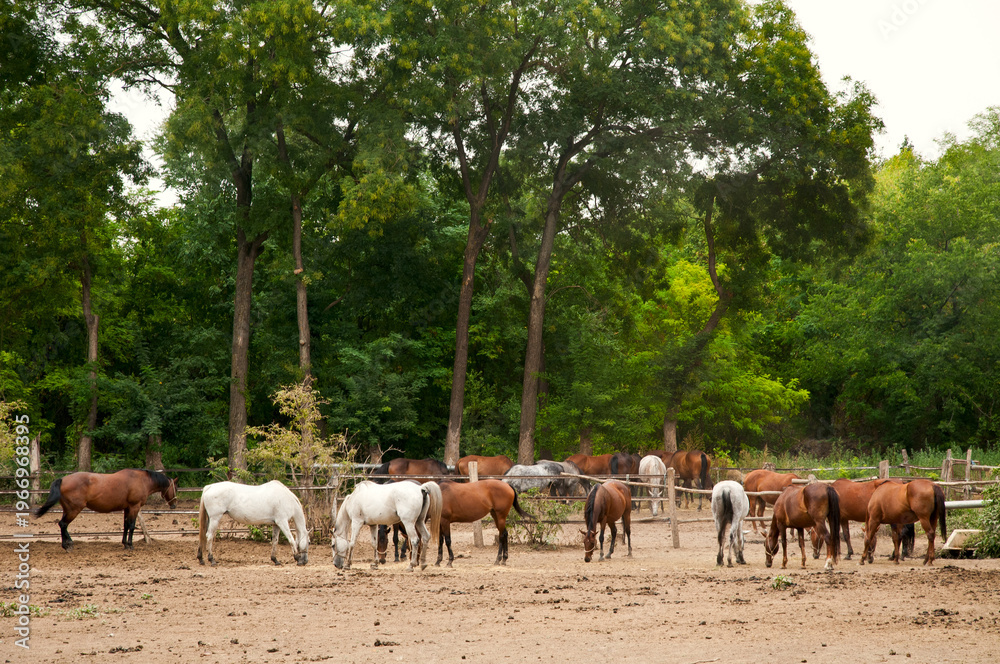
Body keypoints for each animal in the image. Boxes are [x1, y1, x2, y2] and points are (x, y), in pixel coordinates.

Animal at [34, 469, 178, 550]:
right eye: (175, 487)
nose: (174, 504)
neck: (142, 480)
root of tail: (63, 479)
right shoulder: (134, 507)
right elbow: (131, 526)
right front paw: (130, 545)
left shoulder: (127, 508)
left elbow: (125, 525)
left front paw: (125, 544)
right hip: (74, 510)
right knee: (63, 524)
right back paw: (67, 545)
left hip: (67, 510)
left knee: (63, 525)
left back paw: (68, 544)